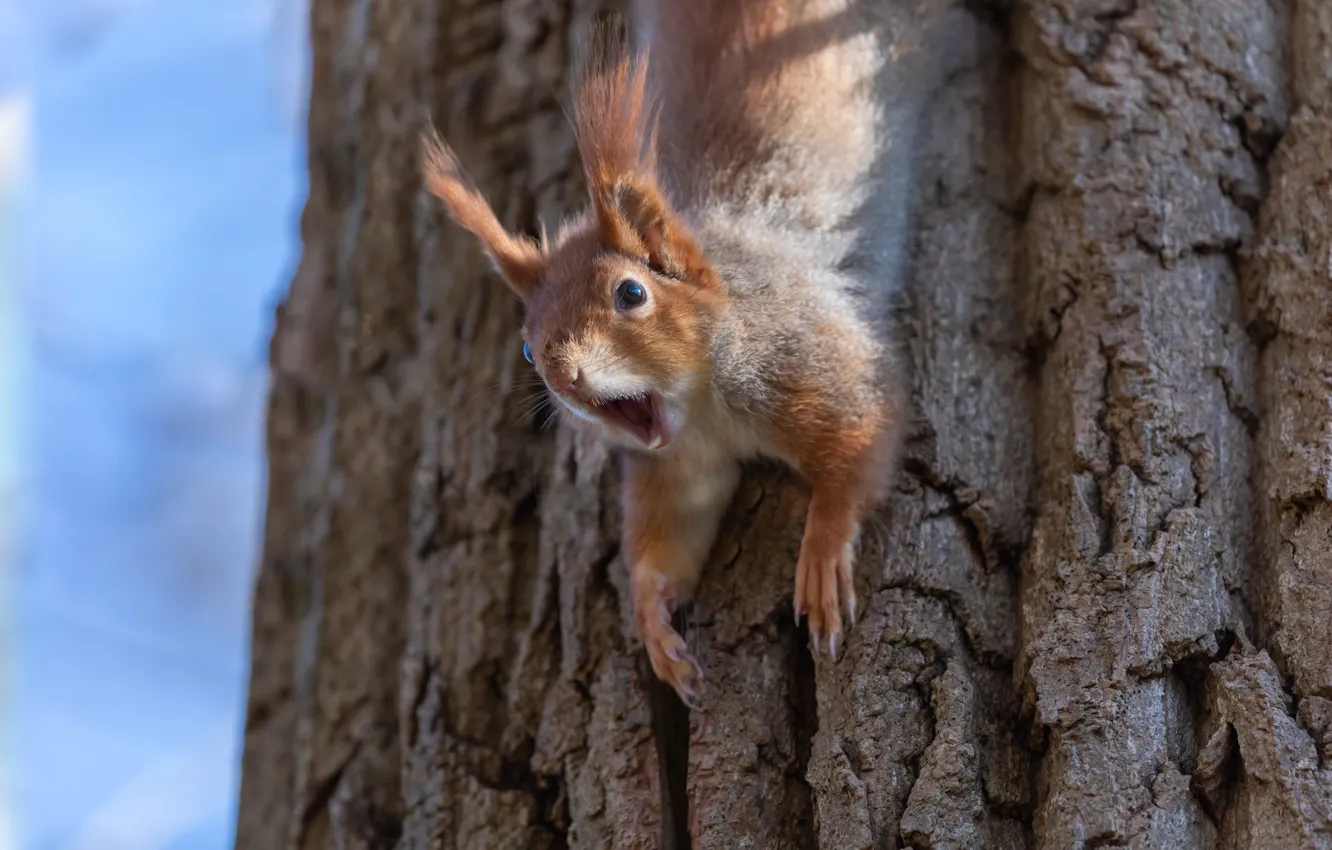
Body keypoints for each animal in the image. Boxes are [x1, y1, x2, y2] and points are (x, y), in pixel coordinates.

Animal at [420, 0, 911, 703]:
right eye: (526, 350)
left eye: (631, 292)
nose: (564, 378)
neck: (702, 407)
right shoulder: (679, 467)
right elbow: (668, 538)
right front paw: (652, 619)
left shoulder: (810, 355)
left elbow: (859, 442)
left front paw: (820, 552)